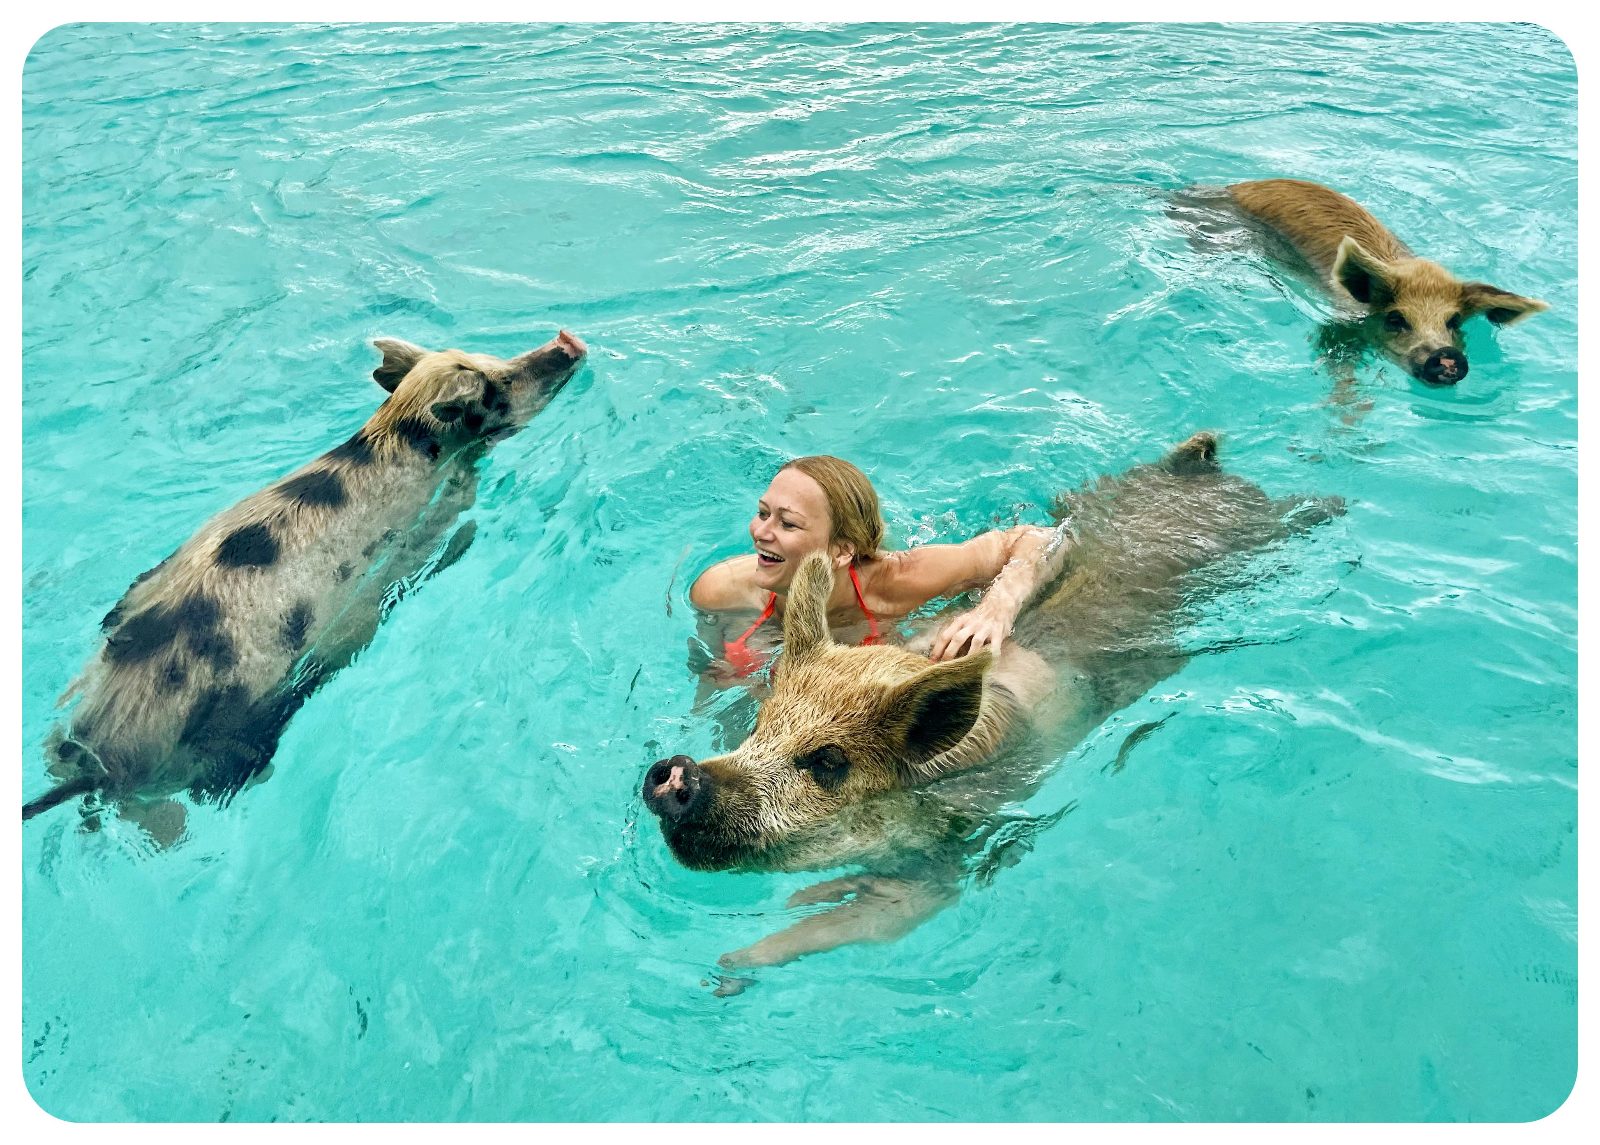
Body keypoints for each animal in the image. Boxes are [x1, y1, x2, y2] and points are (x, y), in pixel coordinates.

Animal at [25, 330, 588, 844]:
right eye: (502, 383)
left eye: (496, 360)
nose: (567, 343)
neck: (399, 433)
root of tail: (97, 761)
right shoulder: (435, 518)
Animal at [642, 433, 1342, 980]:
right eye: (762, 725)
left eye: (829, 761)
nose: (679, 772)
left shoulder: (951, 854)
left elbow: (879, 919)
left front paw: (728, 969)